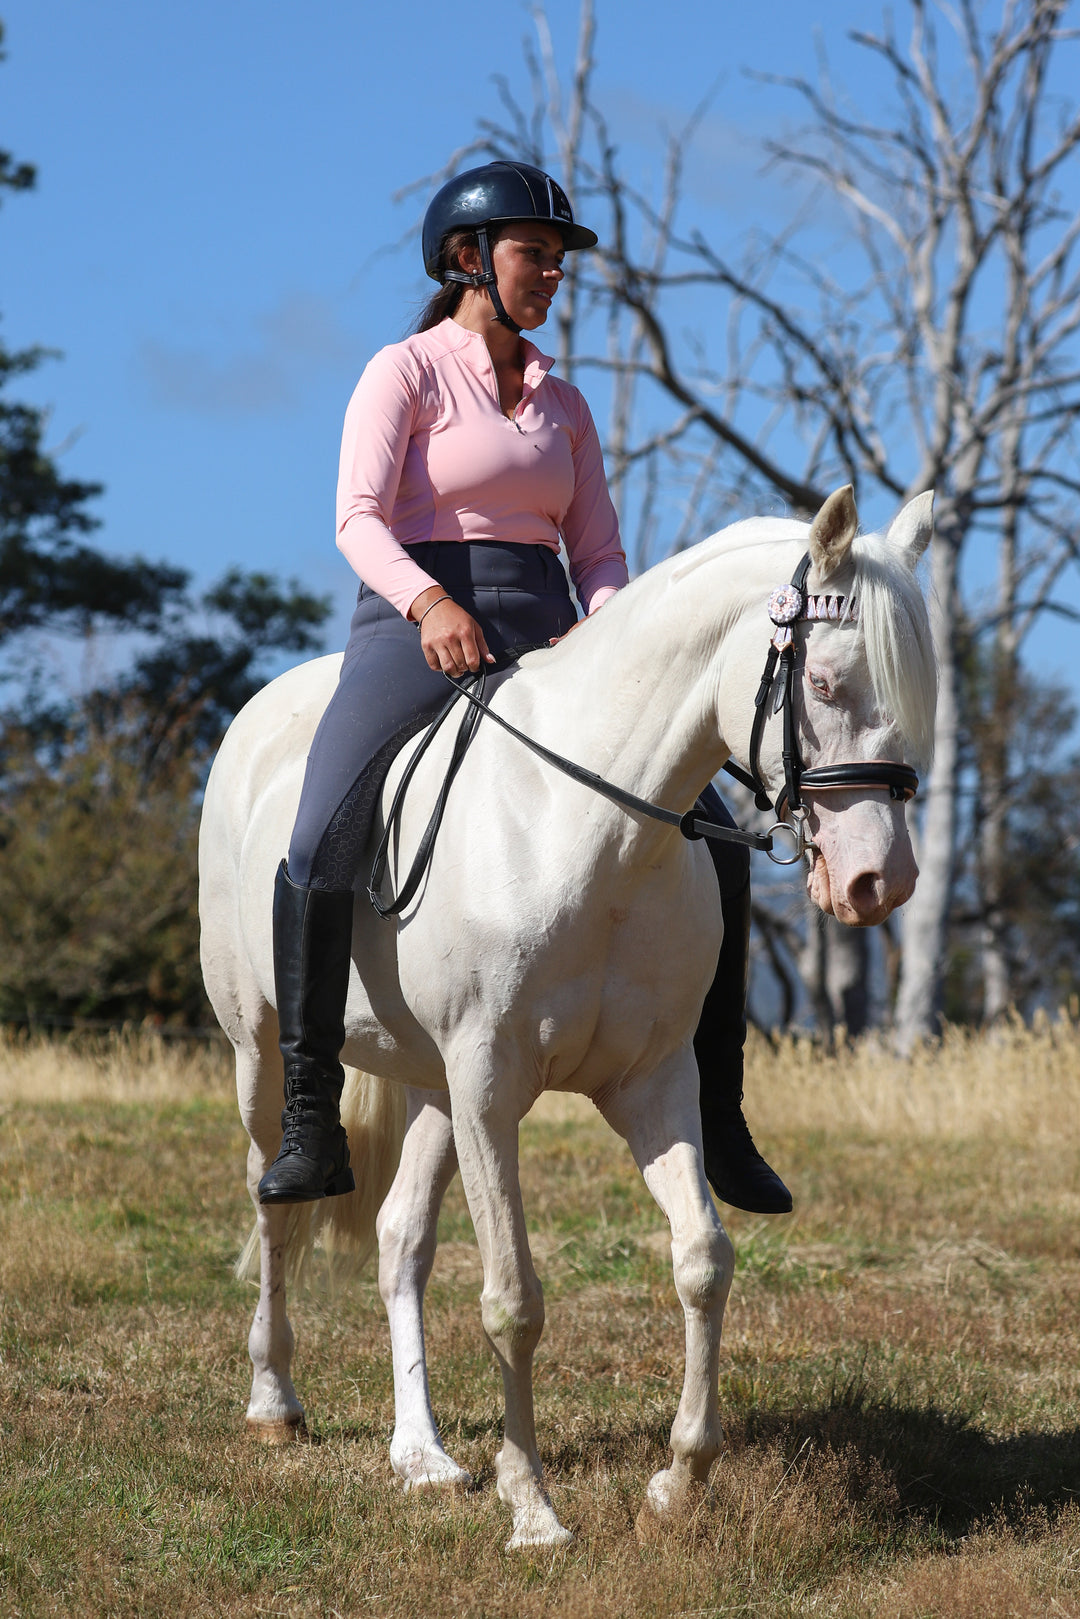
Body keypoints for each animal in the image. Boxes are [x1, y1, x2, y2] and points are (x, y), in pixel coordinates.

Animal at [200, 485, 939, 1547]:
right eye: (829, 683)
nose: (884, 883)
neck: (590, 831)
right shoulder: (490, 1087)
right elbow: (513, 1297)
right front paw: (534, 1510)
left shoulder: (651, 1082)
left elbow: (703, 1260)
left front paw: (680, 1478)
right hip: (262, 1052)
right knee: (275, 1203)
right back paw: (274, 1402)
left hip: (431, 1087)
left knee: (398, 1239)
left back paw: (422, 1455)